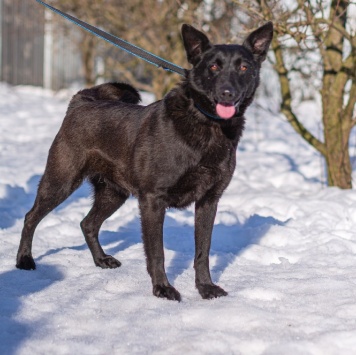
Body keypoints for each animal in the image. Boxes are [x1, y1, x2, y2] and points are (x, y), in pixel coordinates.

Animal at [16, 23, 272, 300]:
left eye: (244, 68)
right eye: (213, 67)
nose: (227, 93)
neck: (206, 124)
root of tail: (81, 101)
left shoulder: (208, 201)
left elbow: (202, 251)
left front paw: (205, 287)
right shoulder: (152, 201)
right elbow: (157, 253)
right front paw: (163, 289)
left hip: (114, 193)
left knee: (88, 224)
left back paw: (101, 260)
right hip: (61, 181)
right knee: (30, 217)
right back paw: (24, 260)